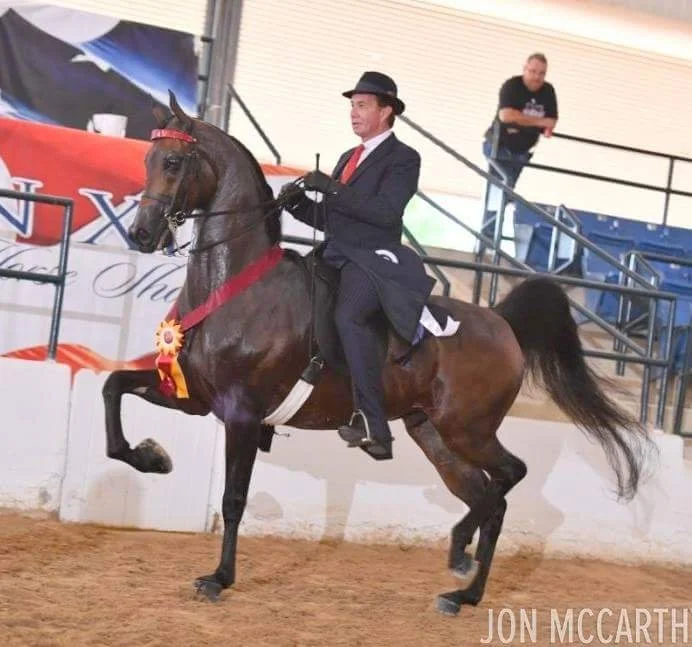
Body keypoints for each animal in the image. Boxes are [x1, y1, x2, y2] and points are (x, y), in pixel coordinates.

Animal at [104, 90, 652, 614]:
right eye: (149, 157)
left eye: (174, 161)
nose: (142, 234)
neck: (237, 285)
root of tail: (502, 324)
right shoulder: (194, 396)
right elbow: (113, 392)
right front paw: (151, 458)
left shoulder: (241, 412)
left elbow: (233, 498)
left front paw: (219, 578)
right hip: (434, 435)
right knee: (488, 496)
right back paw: (462, 581)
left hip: (468, 429)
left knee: (508, 480)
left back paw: (462, 567)